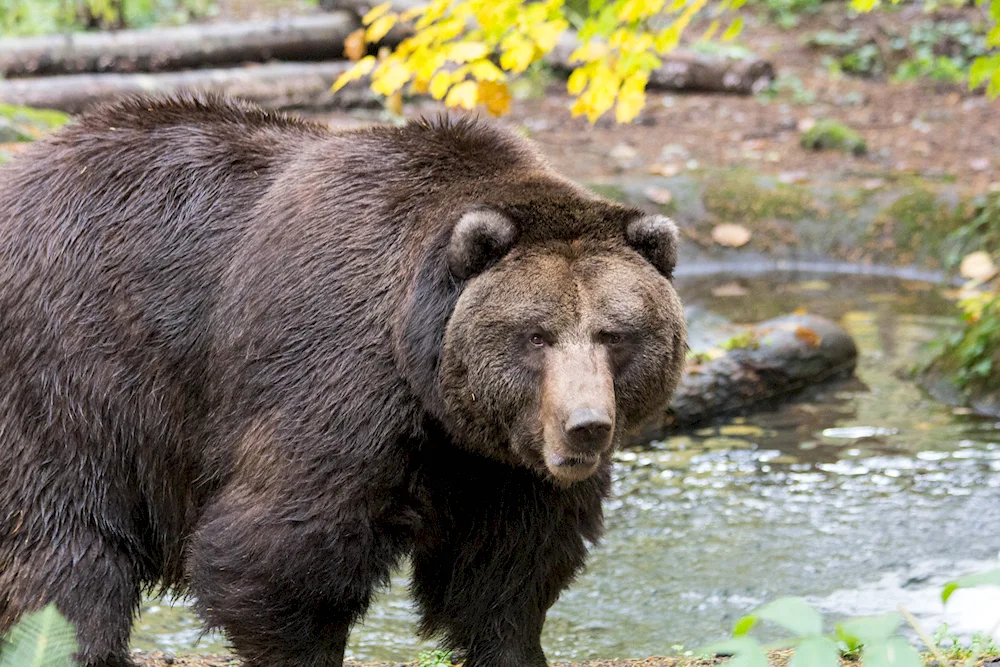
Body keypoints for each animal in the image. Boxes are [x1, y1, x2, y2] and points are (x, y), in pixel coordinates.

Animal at [0, 95, 688, 667]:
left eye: (615, 334)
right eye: (537, 335)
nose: (585, 426)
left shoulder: (502, 464)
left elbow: (506, 567)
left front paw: (514, 644)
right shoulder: (334, 371)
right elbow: (281, 553)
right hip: (76, 369)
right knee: (65, 545)